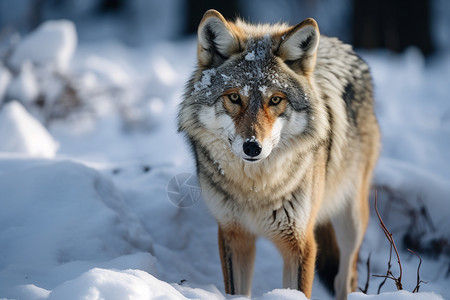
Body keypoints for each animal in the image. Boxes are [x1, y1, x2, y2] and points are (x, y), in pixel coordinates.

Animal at [178, 9, 382, 300]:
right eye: (234, 98)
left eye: (275, 100)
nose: (252, 147)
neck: (256, 190)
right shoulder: (233, 235)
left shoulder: (301, 243)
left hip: (351, 222)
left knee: (347, 277)